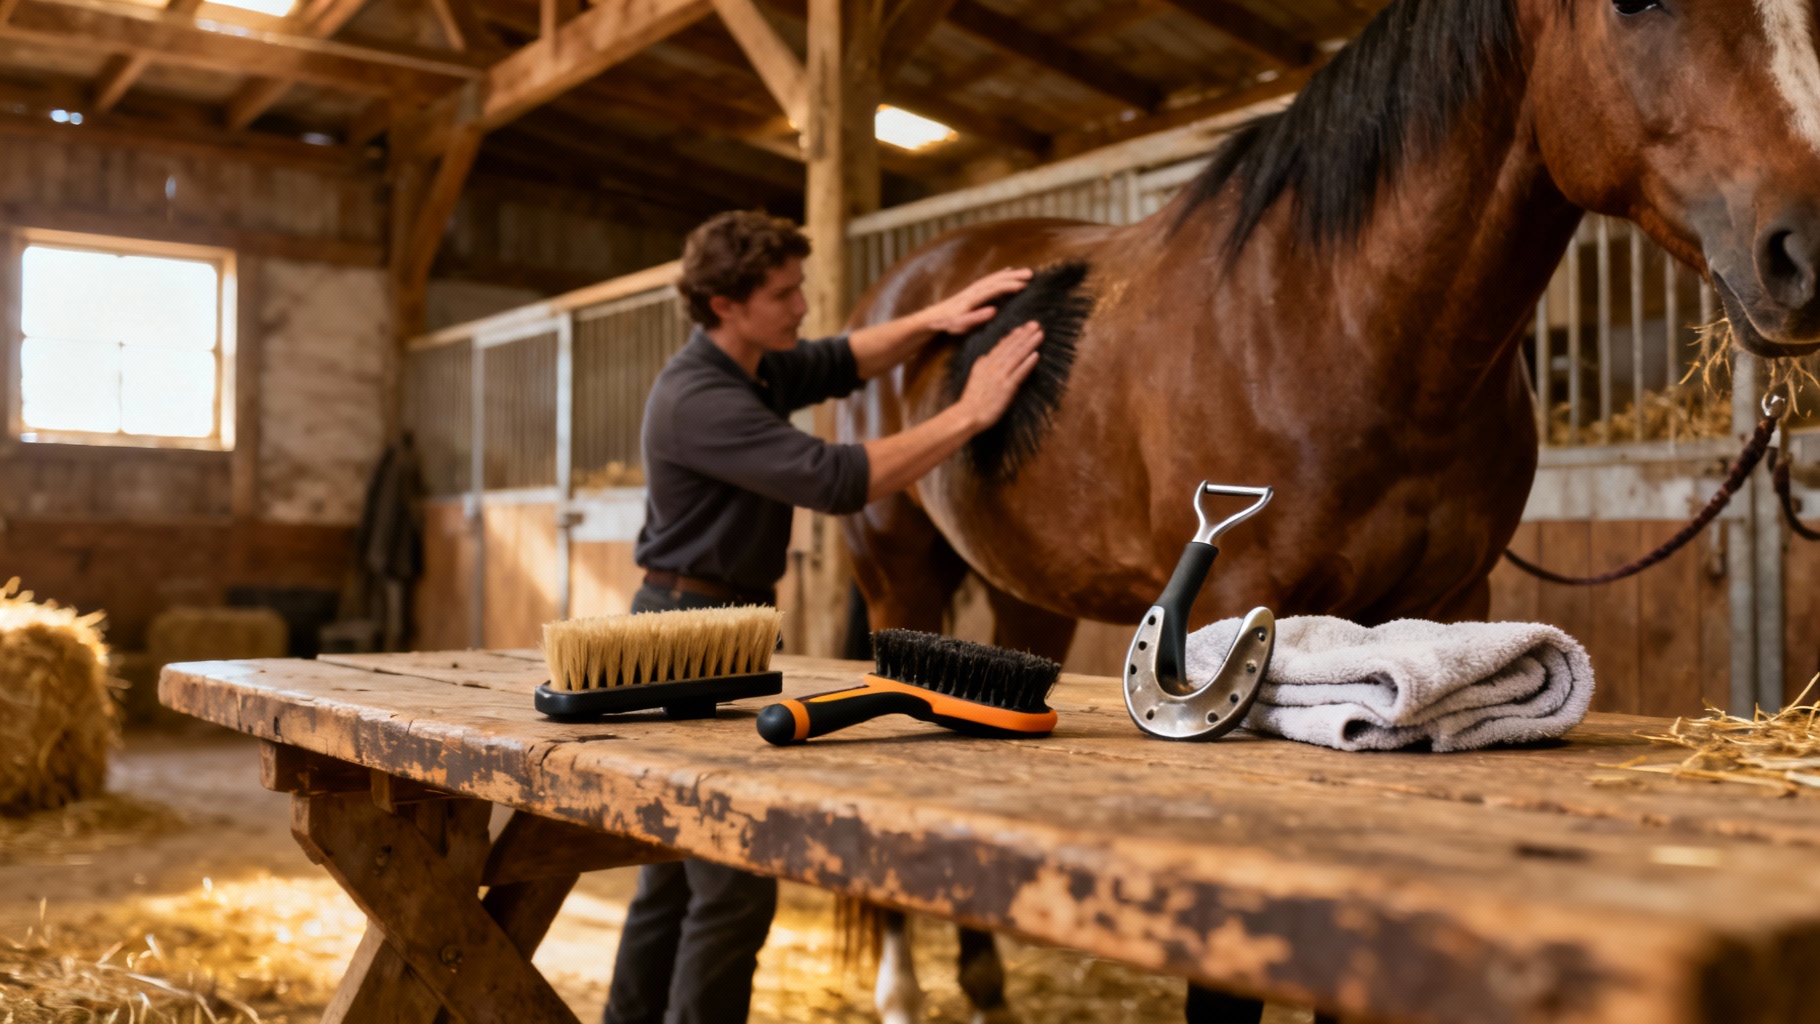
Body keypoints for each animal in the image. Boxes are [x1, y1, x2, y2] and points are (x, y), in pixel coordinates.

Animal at [834, 0, 1820, 1014]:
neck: (1338, 317)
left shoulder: (1452, 598)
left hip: (1028, 592)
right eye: (1633, 6)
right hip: (896, 565)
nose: (1809, 251)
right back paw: (901, 994)